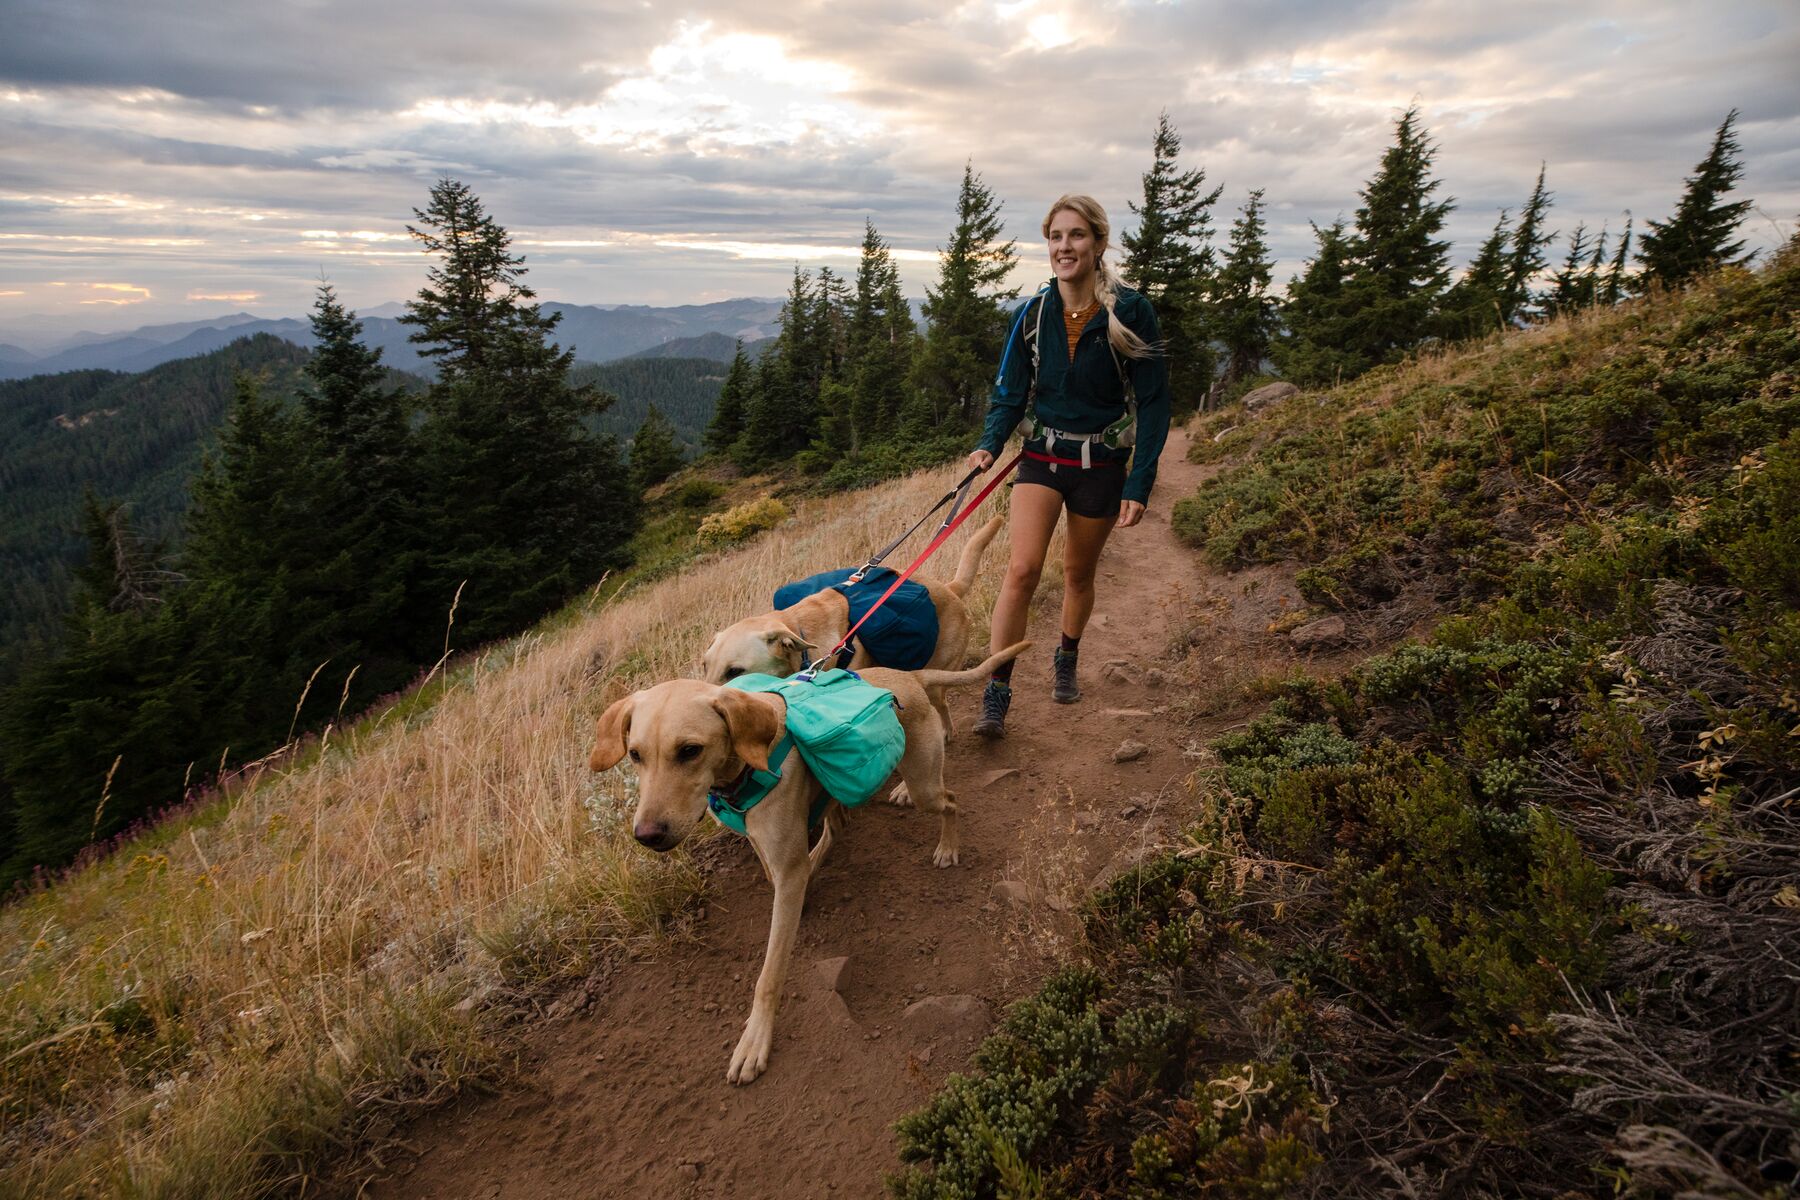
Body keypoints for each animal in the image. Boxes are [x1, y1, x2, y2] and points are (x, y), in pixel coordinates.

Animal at [590, 644, 1029, 1086]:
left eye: (690, 750)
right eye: (635, 755)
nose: (646, 835)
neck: (741, 768)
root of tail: (909, 676)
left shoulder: (784, 867)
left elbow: (768, 975)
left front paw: (755, 1040)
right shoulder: (766, 847)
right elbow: (778, 875)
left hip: (927, 785)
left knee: (951, 800)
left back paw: (946, 845)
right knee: (836, 826)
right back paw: (822, 855)